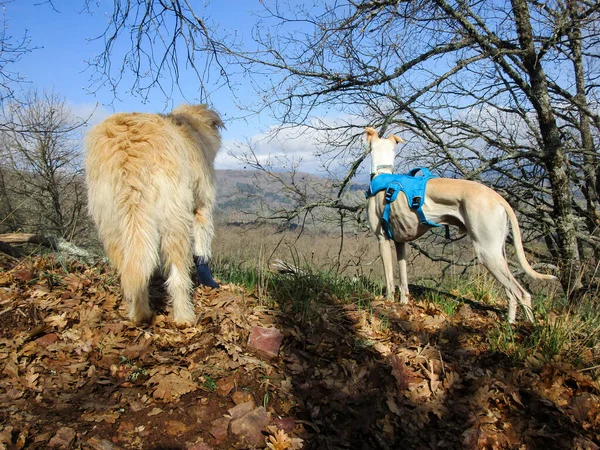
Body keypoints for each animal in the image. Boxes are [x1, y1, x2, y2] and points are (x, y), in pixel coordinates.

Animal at [85, 104, 224, 324]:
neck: (193, 127)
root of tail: (128, 151)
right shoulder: (202, 207)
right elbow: (202, 248)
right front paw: (207, 279)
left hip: (111, 222)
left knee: (131, 273)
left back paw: (139, 313)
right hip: (174, 218)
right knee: (177, 275)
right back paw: (184, 315)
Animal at [366, 127, 556, 324]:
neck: (383, 173)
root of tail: (499, 198)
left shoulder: (383, 239)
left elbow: (389, 280)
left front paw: (387, 303)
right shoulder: (400, 242)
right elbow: (403, 282)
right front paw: (403, 305)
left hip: (486, 252)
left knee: (522, 293)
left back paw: (525, 327)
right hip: (498, 252)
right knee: (511, 293)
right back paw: (511, 324)